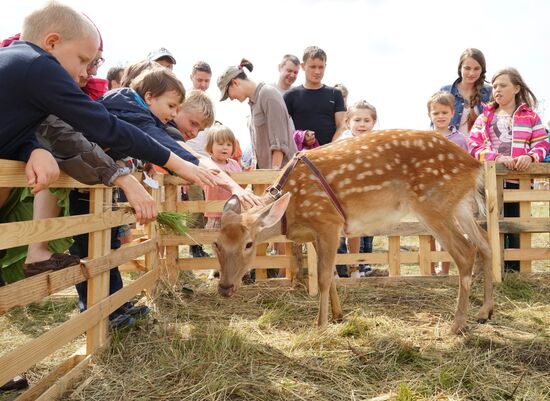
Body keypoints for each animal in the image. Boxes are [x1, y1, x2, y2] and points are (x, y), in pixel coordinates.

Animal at [216, 130, 496, 332]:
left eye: (249, 244)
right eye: (216, 244)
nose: (225, 287)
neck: (291, 211)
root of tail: (475, 165)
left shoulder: (327, 222)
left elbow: (323, 277)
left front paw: (320, 325)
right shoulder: (318, 233)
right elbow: (331, 276)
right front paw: (338, 316)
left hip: (433, 205)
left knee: (466, 251)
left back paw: (457, 325)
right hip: (459, 206)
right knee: (485, 243)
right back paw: (484, 312)